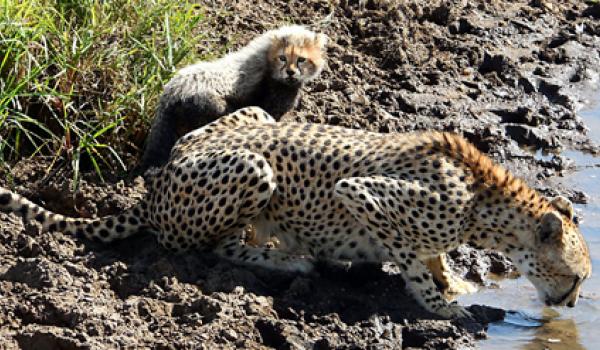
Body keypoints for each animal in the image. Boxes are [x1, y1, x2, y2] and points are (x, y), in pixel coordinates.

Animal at [0, 106, 592, 318]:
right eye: (577, 277)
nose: (569, 305)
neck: (484, 199)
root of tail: (156, 184)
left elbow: (435, 258)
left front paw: (456, 285)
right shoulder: (360, 193)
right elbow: (412, 258)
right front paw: (441, 307)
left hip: (256, 114)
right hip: (253, 169)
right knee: (206, 247)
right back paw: (290, 261)